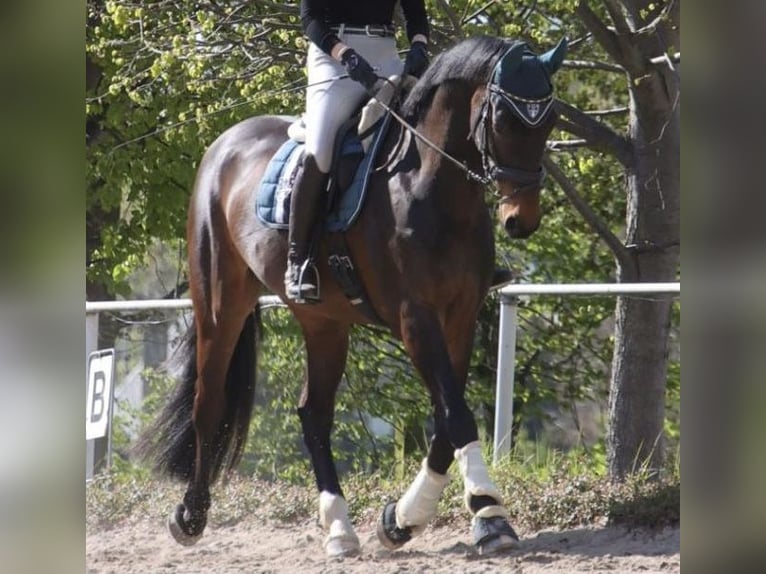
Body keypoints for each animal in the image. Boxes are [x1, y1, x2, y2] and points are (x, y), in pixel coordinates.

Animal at [140, 35, 568, 560]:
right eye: (505, 119)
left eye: (550, 120)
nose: (520, 220)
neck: (429, 187)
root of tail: (224, 143)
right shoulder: (414, 318)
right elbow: (457, 414)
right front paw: (490, 516)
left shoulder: (461, 315)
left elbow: (446, 418)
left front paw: (400, 520)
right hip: (220, 305)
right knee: (208, 401)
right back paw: (192, 514)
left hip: (324, 322)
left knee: (314, 414)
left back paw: (340, 529)